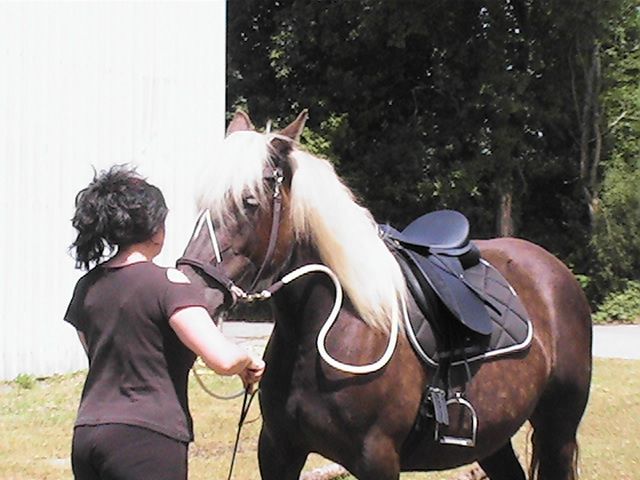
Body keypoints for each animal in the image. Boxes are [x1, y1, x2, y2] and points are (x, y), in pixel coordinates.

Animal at [177, 111, 593, 480]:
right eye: (200, 203)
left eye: (249, 201)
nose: (193, 290)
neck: (327, 327)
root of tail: (555, 271)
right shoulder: (279, 450)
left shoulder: (376, 458)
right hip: (493, 440)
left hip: (558, 432)